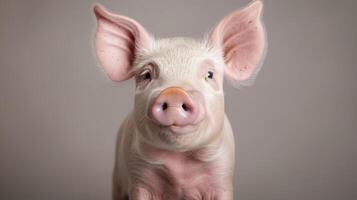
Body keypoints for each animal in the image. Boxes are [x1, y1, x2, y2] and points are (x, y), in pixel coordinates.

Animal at [92, 0, 264, 199]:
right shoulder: (138, 178)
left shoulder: (222, 178)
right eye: (146, 75)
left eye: (209, 74)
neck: (180, 162)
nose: (174, 92)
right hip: (117, 180)